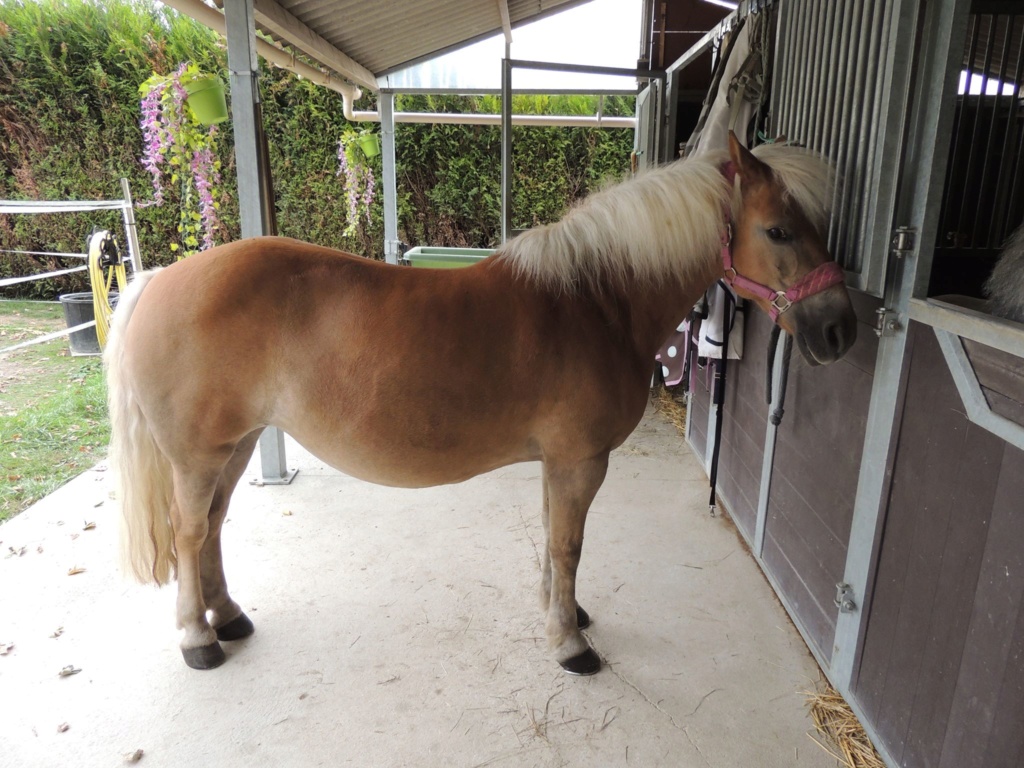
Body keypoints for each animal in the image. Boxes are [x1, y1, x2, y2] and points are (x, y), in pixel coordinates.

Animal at [105, 135, 856, 675]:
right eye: (779, 231)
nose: (840, 330)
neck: (597, 302)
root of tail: (160, 279)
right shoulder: (581, 460)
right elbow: (568, 544)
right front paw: (569, 644)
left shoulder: (560, 462)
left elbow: (554, 540)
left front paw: (564, 614)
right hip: (199, 455)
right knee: (191, 531)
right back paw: (197, 640)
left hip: (232, 446)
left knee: (212, 527)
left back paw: (227, 616)